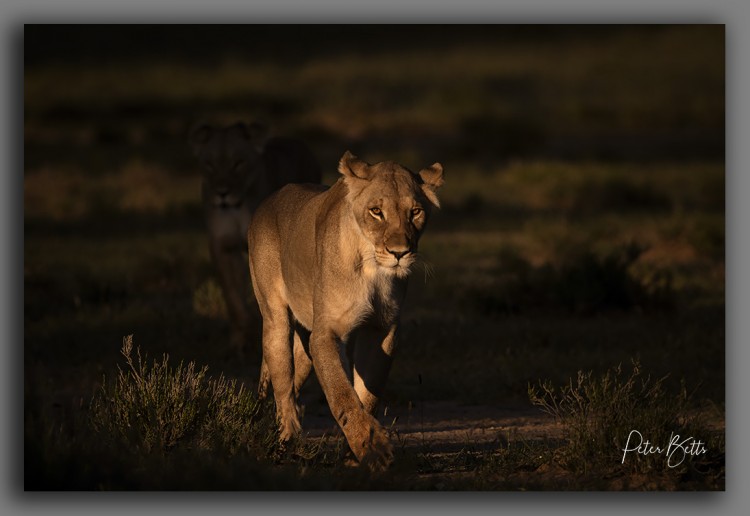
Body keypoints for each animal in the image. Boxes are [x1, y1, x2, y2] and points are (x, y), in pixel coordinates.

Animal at [189, 122, 322, 356]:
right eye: (209, 164)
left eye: (238, 163)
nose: (222, 193)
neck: (234, 209)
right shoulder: (222, 247)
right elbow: (232, 296)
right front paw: (241, 337)